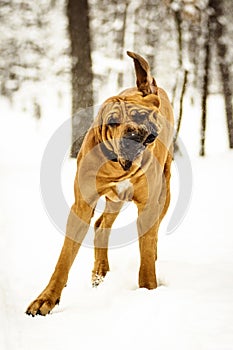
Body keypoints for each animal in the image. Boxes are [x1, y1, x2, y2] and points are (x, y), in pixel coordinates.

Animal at [26, 52, 174, 318]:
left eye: (139, 116)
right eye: (113, 122)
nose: (131, 134)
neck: (119, 165)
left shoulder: (148, 206)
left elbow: (146, 254)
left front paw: (148, 290)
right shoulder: (82, 205)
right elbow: (64, 258)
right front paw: (46, 298)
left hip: (163, 194)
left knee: (152, 232)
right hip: (116, 200)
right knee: (101, 225)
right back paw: (99, 272)